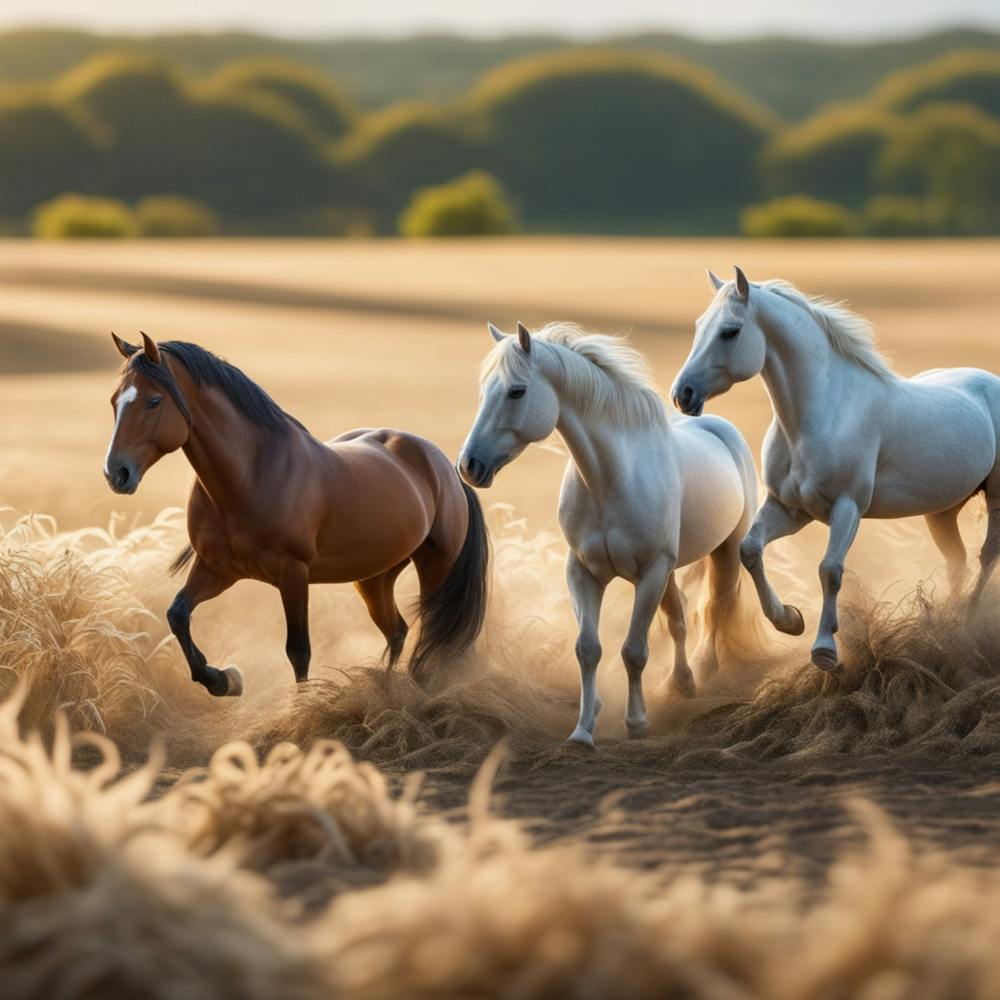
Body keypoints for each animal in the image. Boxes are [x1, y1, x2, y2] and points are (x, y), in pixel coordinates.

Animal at [103, 333, 488, 697]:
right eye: (114, 401)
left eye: (153, 401)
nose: (116, 473)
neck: (249, 475)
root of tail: (444, 465)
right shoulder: (217, 569)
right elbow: (178, 615)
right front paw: (223, 680)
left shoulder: (293, 574)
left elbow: (298, 651)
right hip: (375, 576)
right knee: (397, 631)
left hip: (436, 566)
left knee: (431, 635)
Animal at [458, 320, 759, 744]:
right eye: (484, 390)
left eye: (517, 391)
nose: (469, 465)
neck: (610, 480)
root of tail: (719, 428)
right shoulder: (583, 573)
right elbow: (588, 649)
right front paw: (584, 729)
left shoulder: (649, 573)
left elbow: (634, 651)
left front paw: (637, 723)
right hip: (670, 571)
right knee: (679, 616)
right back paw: (680, 683)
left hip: (724, 551)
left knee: (714, 607)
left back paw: (703, 673)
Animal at [672, 266, 1000, 672]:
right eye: (700, 325)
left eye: (730, 331)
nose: (682, 395)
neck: (823, 413)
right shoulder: (790, 509)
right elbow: (750, 550)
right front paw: (790, 620)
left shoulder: (847, 508)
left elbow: (830, 570)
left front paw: (825, 650)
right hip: (942, 511)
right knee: (957, 562)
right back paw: (946, 622)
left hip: (995, 496)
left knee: (987, 555)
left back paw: (968, 618)